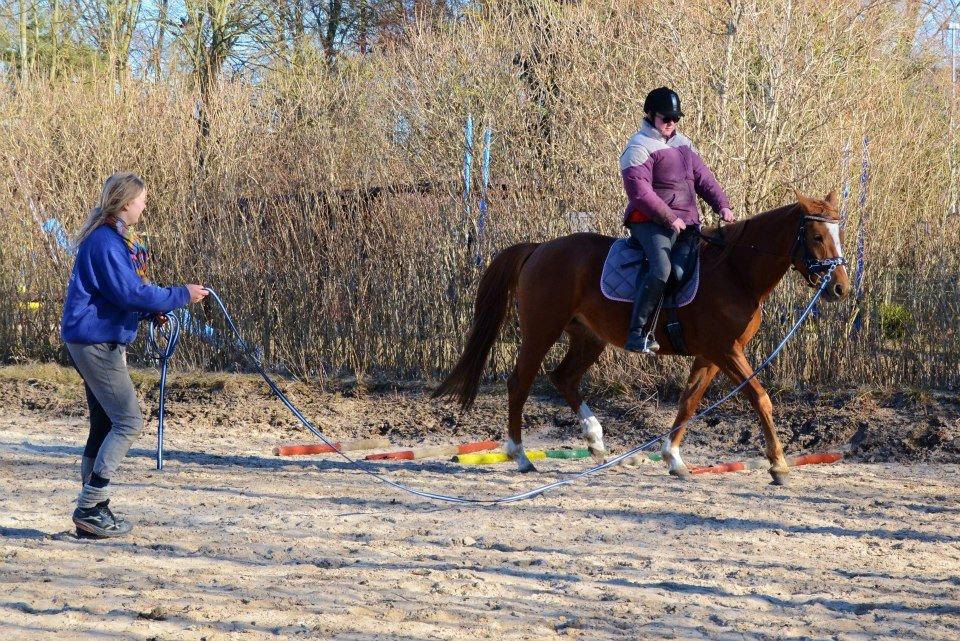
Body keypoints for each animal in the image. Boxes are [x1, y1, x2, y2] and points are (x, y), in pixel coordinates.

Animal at [436, 190, 848, 484]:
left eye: (838, 234)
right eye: (815, 236)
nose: (840, 288)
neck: (735, 271)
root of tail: (539, 249)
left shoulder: (711, 356)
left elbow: (689, 401)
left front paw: (673, 458)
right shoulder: (725, 351)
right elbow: (760, 398)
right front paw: (778, 465)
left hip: (589, 337)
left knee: (563, 377)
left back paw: (595, 440)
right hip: (542, 330)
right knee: (520, 382)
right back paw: (520, 455)